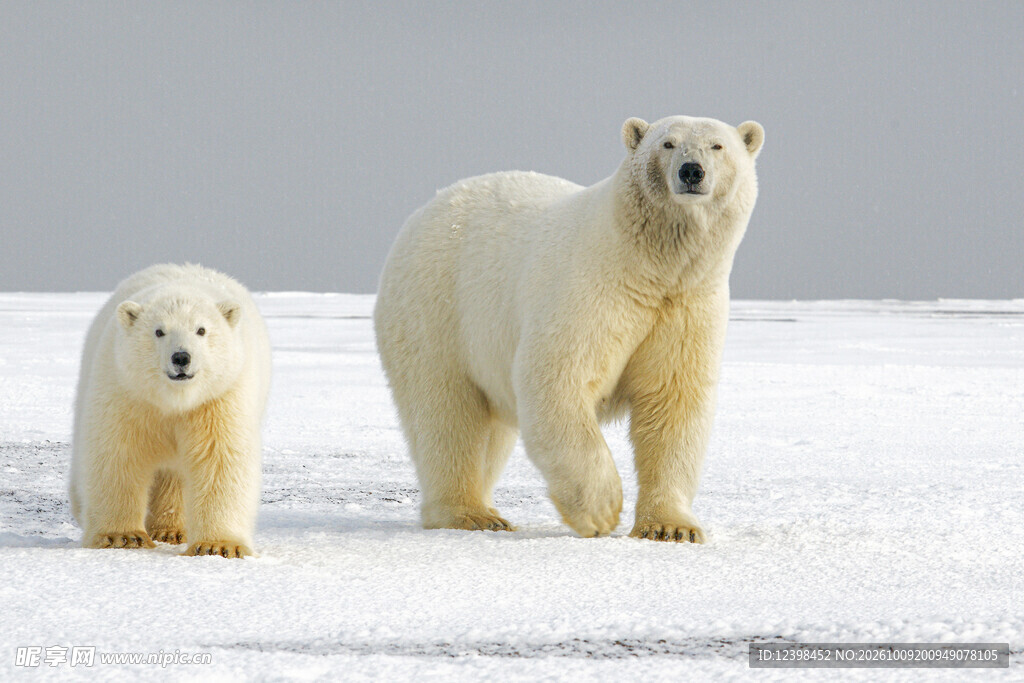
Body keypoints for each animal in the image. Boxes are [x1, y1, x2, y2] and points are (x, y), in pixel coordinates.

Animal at [69, 263, 271, 557]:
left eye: (201, 330)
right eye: (158, 331)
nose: (181, 357)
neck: (173, 400)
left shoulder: (219, 398)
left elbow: (220, 459)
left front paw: (218, 545)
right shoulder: (127, 391)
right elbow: (118, 453)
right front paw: (123, 536)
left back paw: (171, 530)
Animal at [374, 115, 764, 542]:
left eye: (717, 146)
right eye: (668, 143)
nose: (691, 171)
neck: (649, 266)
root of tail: (423, 212)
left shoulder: (687, 305)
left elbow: (672, 403)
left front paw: (671, 527)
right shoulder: (592, 289)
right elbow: (558, 378)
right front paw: (602, 510)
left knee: (489, 430)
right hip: (437, 309)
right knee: (447, 413)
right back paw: (471, 513)